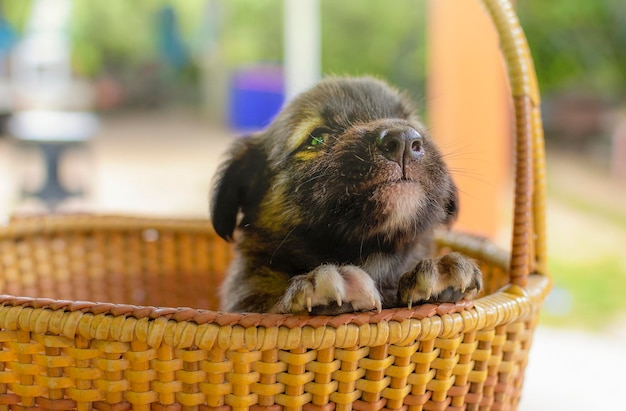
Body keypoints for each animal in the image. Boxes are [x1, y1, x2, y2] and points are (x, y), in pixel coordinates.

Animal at [208, 76, 478, 316]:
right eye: (317, 138)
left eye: (413, 124)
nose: (403, 138)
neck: (374, 257)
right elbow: (275, 309)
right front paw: (321, 283)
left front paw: (438, 271)